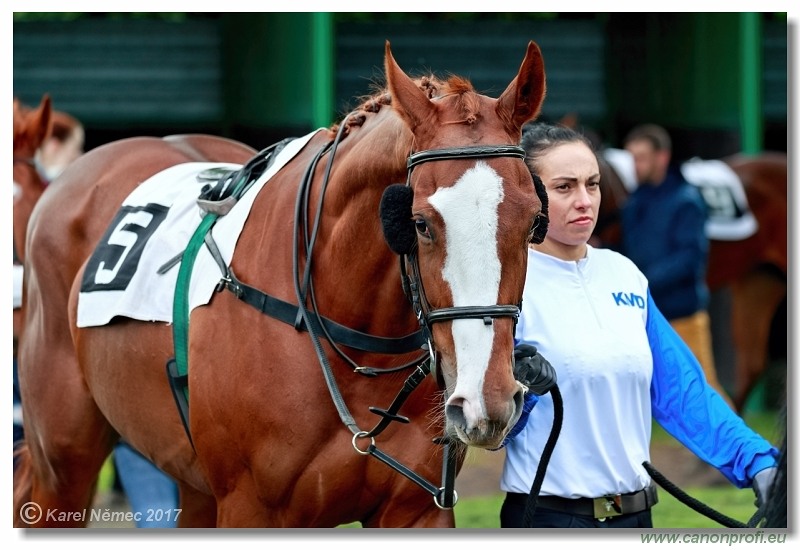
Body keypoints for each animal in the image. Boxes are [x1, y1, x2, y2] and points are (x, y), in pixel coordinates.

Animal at [14, 41, 552, 528]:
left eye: (532, 223)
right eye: (419, 223)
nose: (488, 401)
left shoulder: (416, 511)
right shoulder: (250, 507)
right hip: (64, 458)